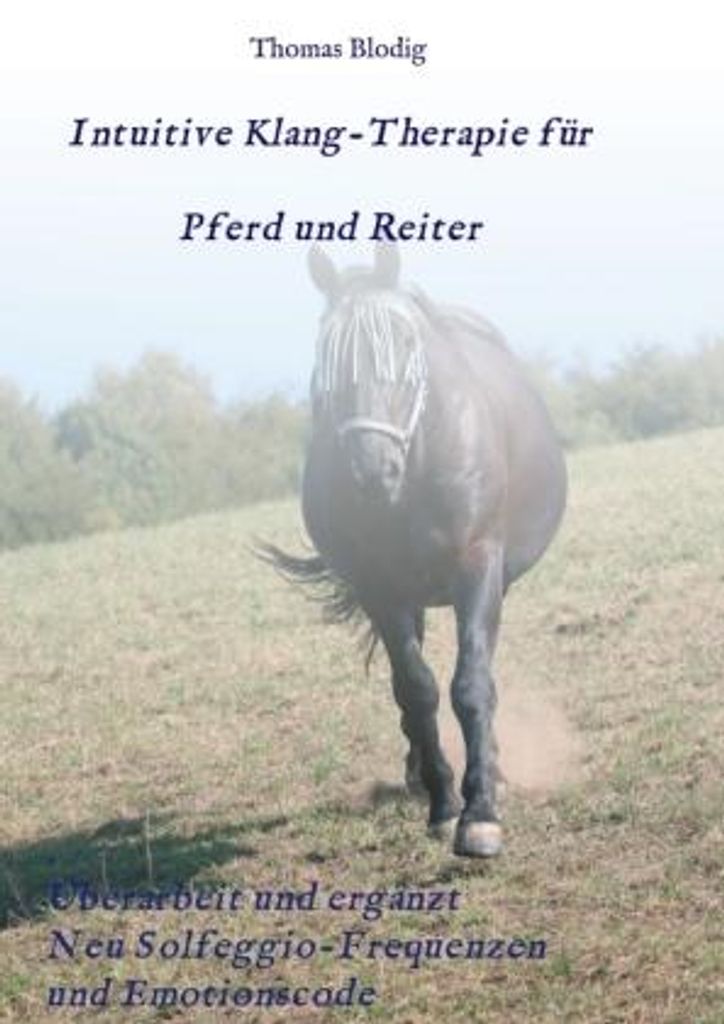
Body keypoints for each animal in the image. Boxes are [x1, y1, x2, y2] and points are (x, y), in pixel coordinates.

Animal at [265, 243, 567, 857]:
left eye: (405, 345)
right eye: (326, 357)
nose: (371, 470)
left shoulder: (477, 564)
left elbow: (471, 683)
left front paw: (480, 813)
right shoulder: (380, 588)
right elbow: (416, 688)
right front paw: (444, 803)